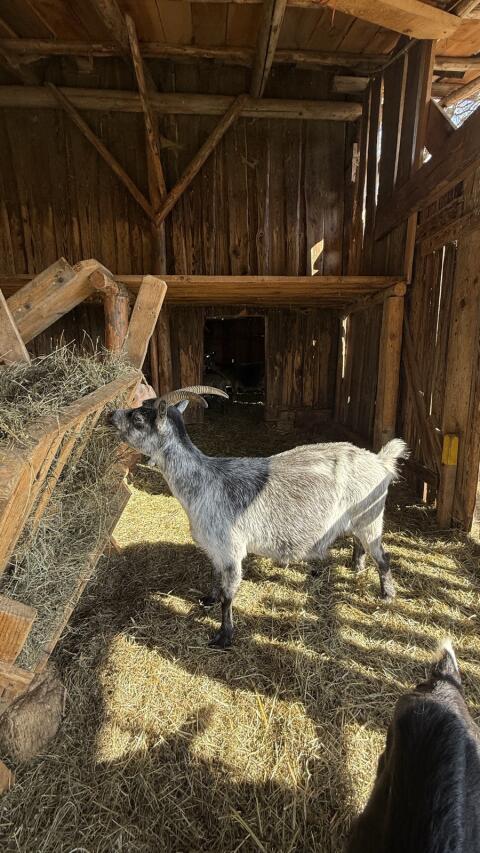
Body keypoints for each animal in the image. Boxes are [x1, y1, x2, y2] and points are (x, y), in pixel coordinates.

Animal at [109, 386, 408, 648]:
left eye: (138, 418)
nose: (111, 414)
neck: (204, 483)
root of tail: (380, 461)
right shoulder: (216, 550)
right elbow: (215, 576)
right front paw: (208, 599)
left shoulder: (231, 550)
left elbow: (228, 596)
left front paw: (224, 636)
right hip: (360, 521)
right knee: (360, 545)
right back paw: (357, 567)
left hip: (371, 519)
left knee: (383, 556)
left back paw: (387, 595)